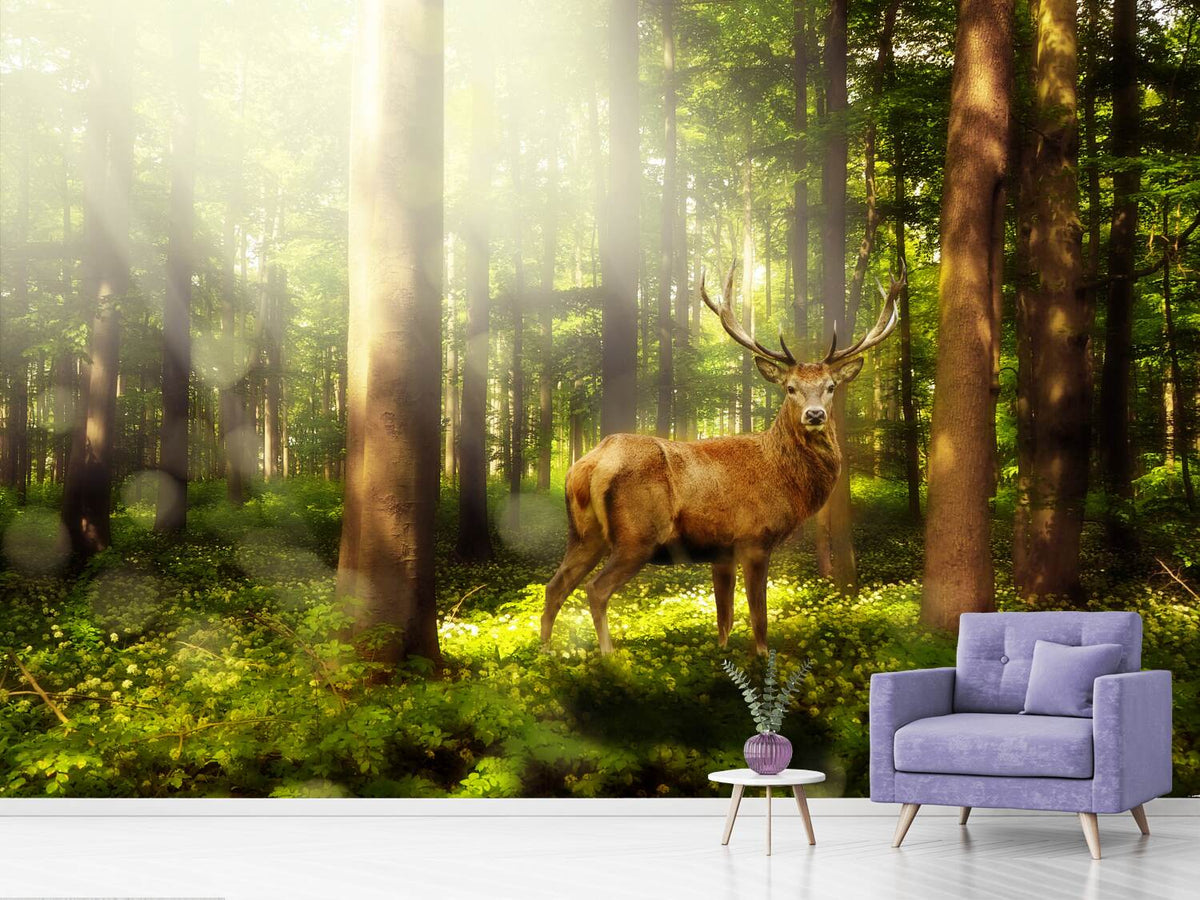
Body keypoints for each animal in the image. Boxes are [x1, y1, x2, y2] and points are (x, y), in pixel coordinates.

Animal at [541, 261, 905, 655]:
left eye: (831, 387)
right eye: (790, 388)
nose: (815, 415)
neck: (784, 479)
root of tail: (588, 464)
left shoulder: (721, 551)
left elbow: (724, 618)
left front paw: (724, 653)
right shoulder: (754, 538)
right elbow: (758, 617)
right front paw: (762, 658)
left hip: (583, 534)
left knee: (554, 586)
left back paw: (544, 653)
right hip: (637, 535)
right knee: (596, 589)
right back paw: (609, 657)